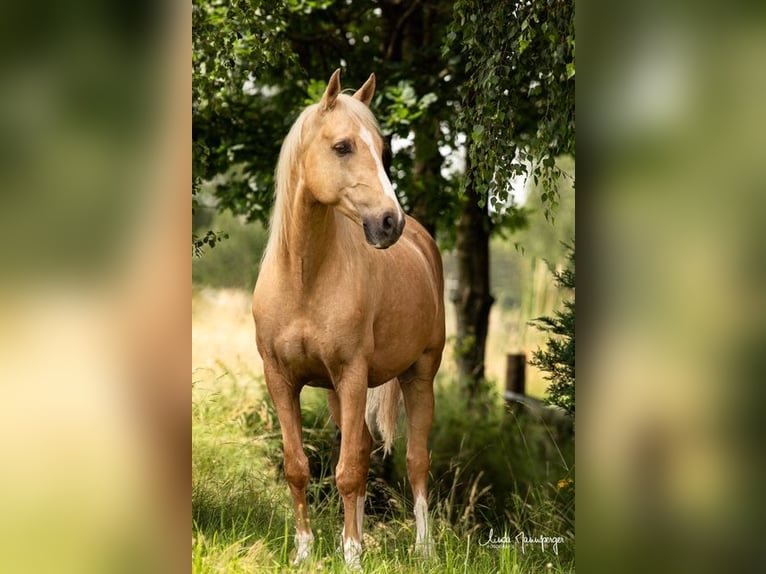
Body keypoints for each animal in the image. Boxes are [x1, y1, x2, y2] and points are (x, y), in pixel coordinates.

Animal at [254, 70, 444, 568]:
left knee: (416, 460)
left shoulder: (353, 374)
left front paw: (353, 556)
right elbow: (299, 467)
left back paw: (425, 549)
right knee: (360, 447)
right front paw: (305, 553)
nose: (389, 223)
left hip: (419, 376)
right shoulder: (281, 379)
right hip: (338, 395)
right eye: (342, 146)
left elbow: (349, 472)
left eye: (381, 149)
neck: (304, 279)